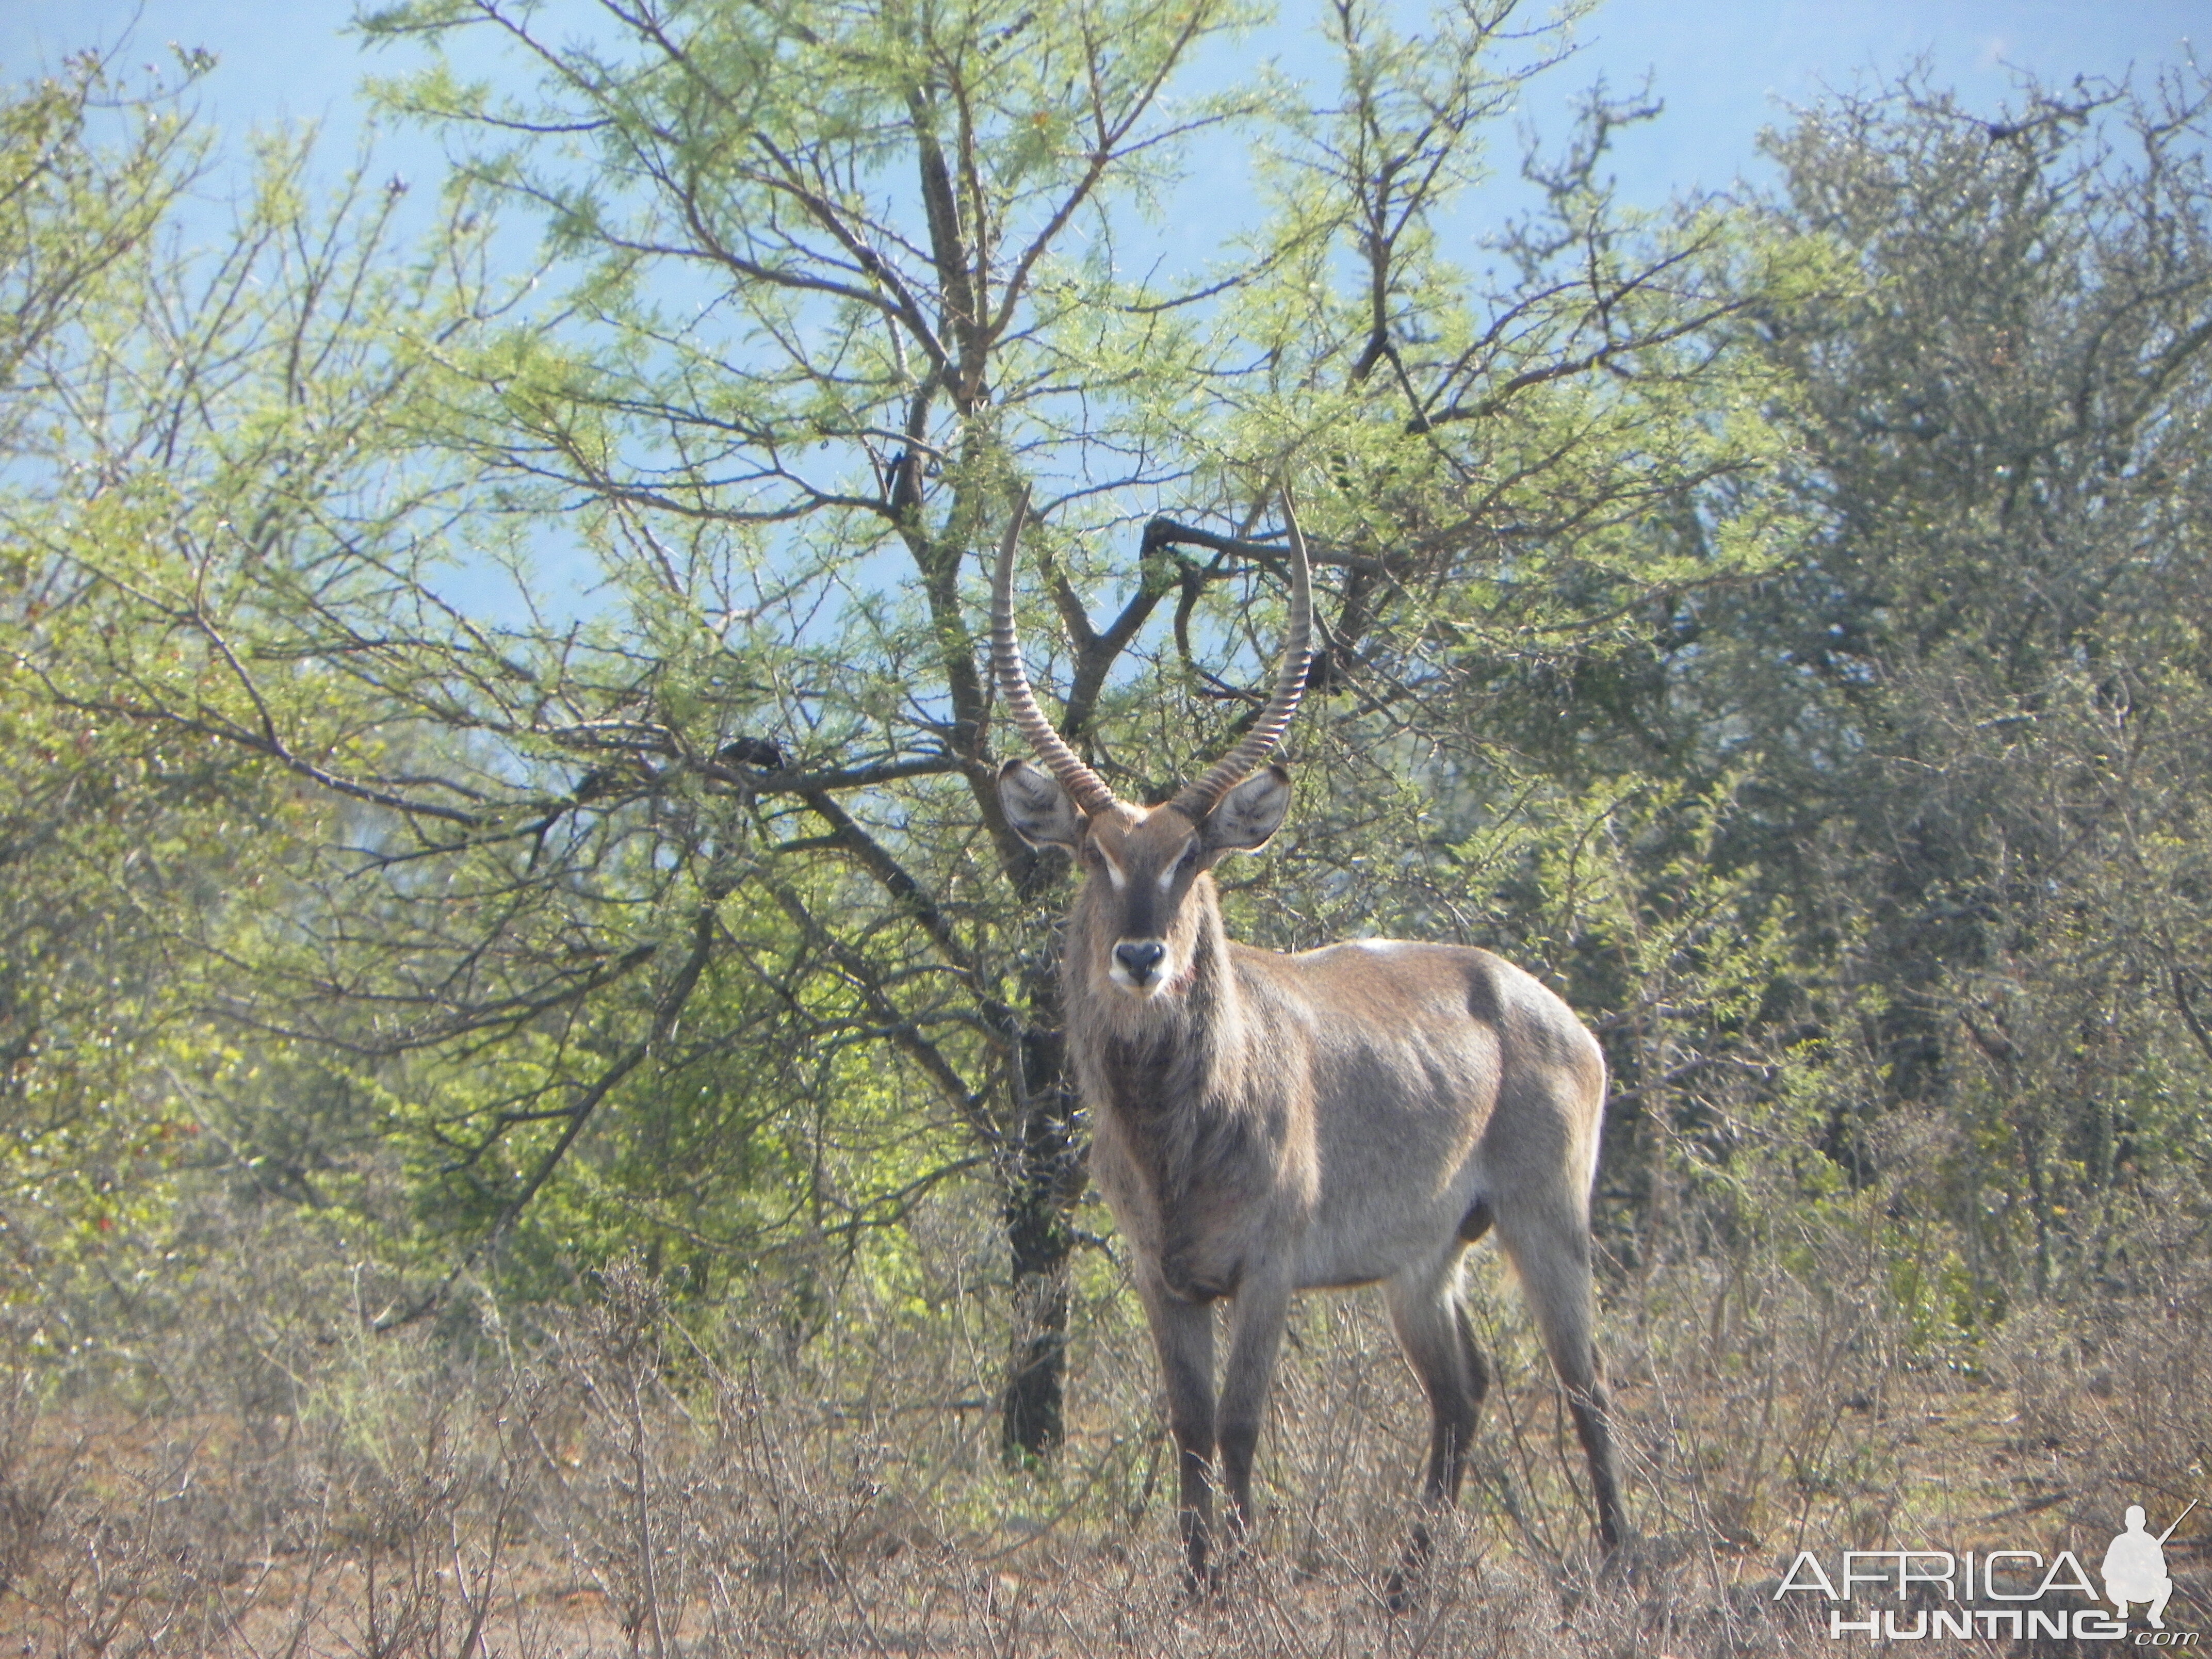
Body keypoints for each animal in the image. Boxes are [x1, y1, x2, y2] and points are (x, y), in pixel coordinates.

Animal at [995, 500, 1637, 1592]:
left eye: (1192, 856)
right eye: (1094, 854)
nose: (1140, 956)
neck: (1177, 1130)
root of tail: (1544, 1005)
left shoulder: (1266, 1271)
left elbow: (1240, 1426)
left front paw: (1239, 1586)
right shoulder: (1159, 1276)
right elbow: (1188, 1427)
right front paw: (1196, 1586)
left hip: (1544, 1218)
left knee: (1583, 1378)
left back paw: (1620, 1562)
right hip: (1424, 1260)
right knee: (1464, 1387)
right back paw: (1405, 1584)